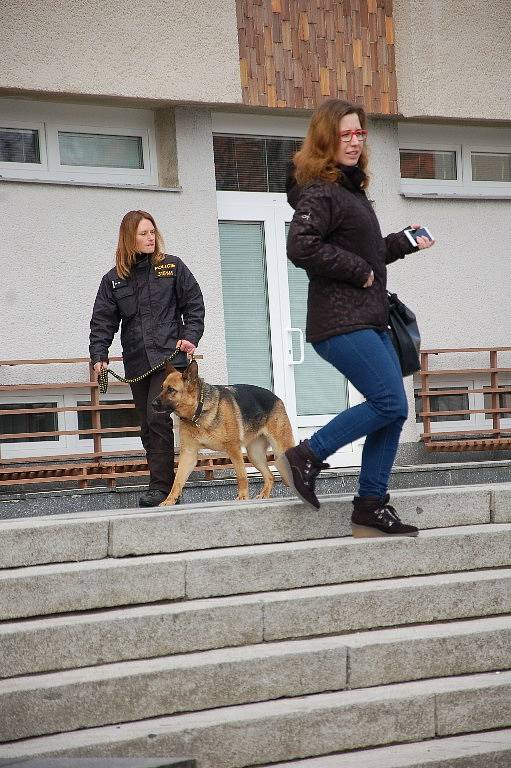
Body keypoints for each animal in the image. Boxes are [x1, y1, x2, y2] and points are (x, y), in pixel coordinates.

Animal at [152, 358, 294, 504]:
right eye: (162, 388)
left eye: (171, 390)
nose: (152, 404)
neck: (199, 411)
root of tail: (276, 397)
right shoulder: (188, 454)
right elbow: (178, 480)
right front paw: (169, 500)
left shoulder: (234, 449)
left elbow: (241, 475)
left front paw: (243, 497)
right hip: (255, 455)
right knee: (270, 476)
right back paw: (264, 495)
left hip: (280, 449)